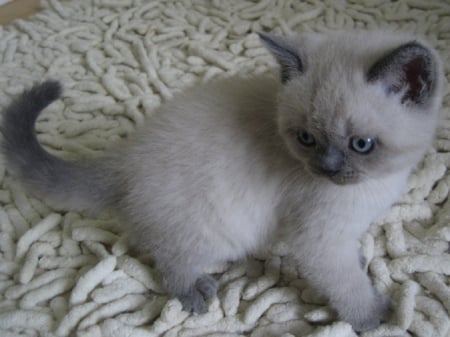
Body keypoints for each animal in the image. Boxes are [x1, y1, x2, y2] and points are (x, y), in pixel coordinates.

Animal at [0, 30, 442, 330]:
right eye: (306, 138)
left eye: (361, 144)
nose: (327, 168)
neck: (376, 183)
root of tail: (124, 159)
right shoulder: (319, 239)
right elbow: (346, 282)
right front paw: (375, 317)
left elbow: (354, 261)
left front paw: (365, 262)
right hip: (215, 230)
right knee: (170, 257)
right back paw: (193, 291)